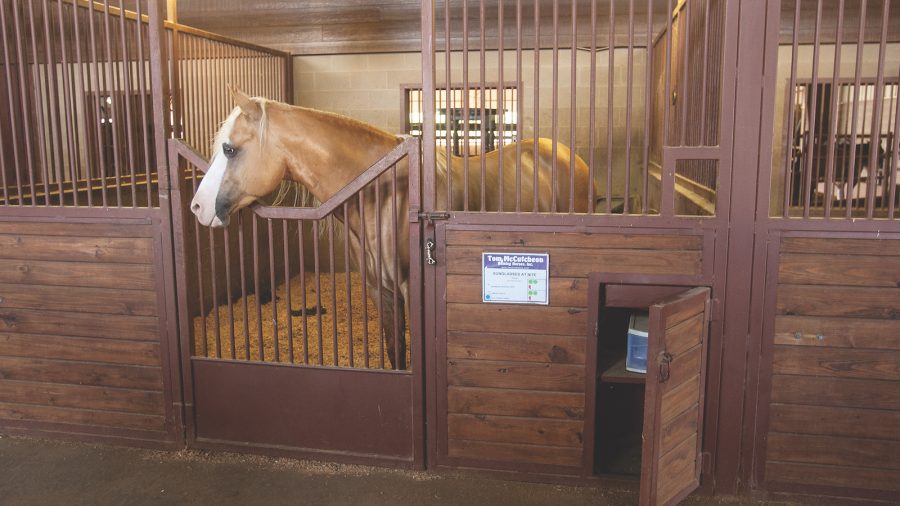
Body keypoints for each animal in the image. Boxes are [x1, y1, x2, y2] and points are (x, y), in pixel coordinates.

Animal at [190, 85, 598, 369]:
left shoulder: (410, 288)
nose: (197, 207)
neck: (384, 195)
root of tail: (567, 156)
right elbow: (395, 353)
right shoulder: (380, 290)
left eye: (229, 149)